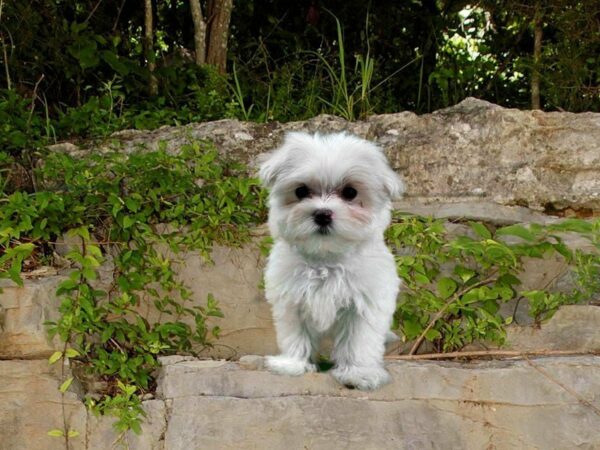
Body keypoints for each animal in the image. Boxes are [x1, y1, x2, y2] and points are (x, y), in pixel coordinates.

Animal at [258, 131, 404, 390]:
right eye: (301, 191)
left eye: (350, 193)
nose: (322, 214)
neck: (326, 259)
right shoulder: (292, 300)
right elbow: (295, 334)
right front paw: (293, 364)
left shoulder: (365, 304)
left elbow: (360, 341)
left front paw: (360, 373)